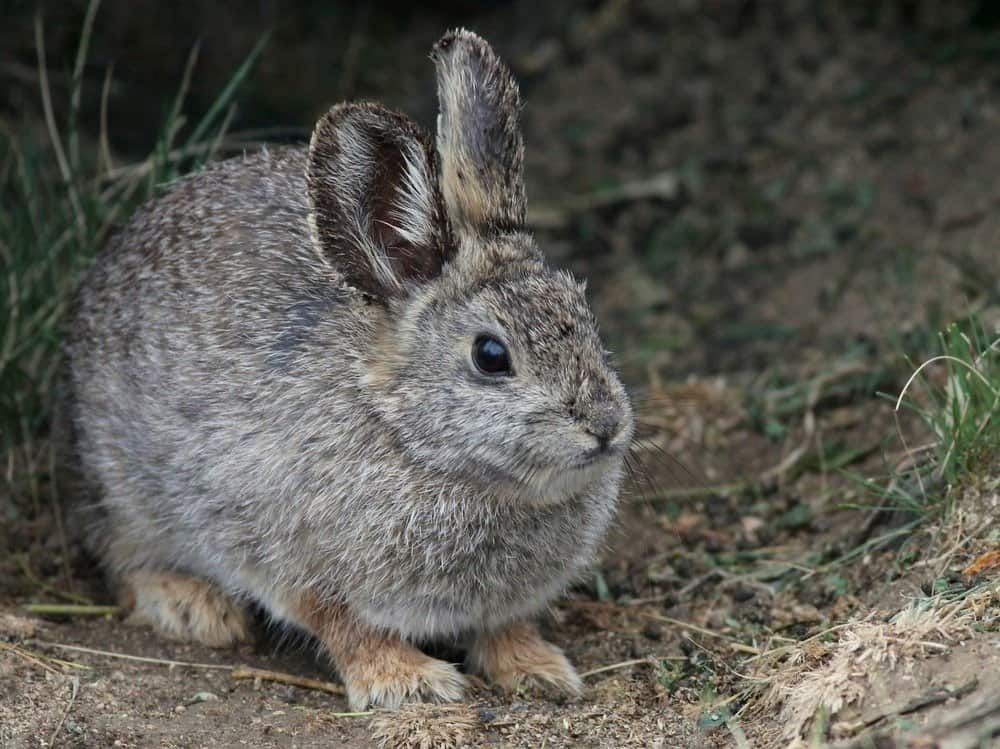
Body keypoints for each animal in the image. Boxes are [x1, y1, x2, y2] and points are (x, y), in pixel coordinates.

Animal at [66, 29, 632, 708]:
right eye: (491, 356)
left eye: (584, 311)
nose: (605, 426)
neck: (411, 440)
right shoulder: (294, 561)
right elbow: (348, 627)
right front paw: (410, 683)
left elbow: (504, 626)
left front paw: (539, 670)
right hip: (124, 488)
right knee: (121, 557)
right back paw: (194, 607)